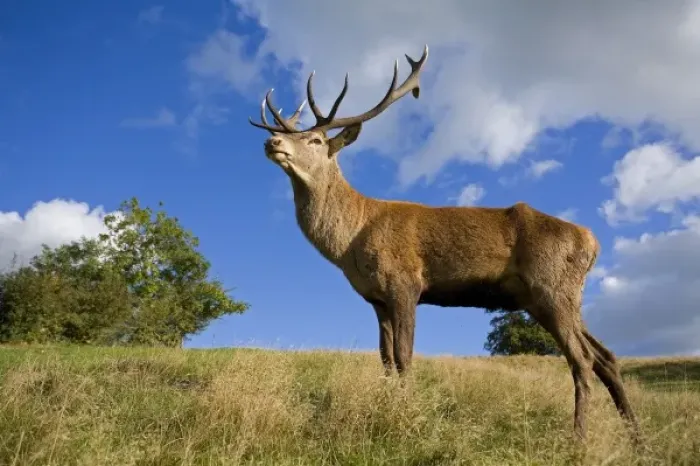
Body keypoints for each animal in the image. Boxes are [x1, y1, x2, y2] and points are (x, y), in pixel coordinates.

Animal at [248, 45, 640, 444]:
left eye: (314, 140)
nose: (271, 142)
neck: (351, 241)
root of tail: (592, 241)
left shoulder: (404, 282)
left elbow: (404, 355)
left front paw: (406, 418)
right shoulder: (376, 298)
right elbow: (385, 358)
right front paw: (387, 408)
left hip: (551, 286)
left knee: (582, 359)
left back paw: (579, 438)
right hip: (550, 298)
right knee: (606, 356)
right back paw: (636, 438)